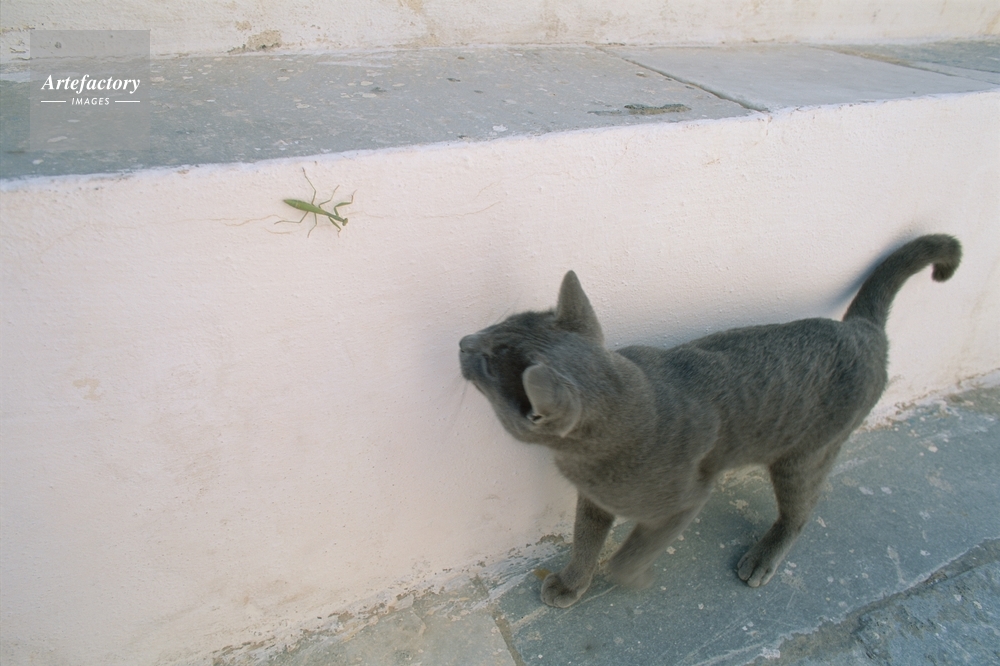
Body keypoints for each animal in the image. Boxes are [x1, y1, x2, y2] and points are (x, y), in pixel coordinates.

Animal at [459, 234, 961, 608]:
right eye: (499, 325)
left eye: (487, 364)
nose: (465, 341)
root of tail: (861, 330)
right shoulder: (595, 499)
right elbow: (585, 538)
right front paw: (571, 582)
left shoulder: (685, 501)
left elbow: (626, 556)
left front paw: (633, 579)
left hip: (803, 457)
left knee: (802, 511)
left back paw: (763, 557)